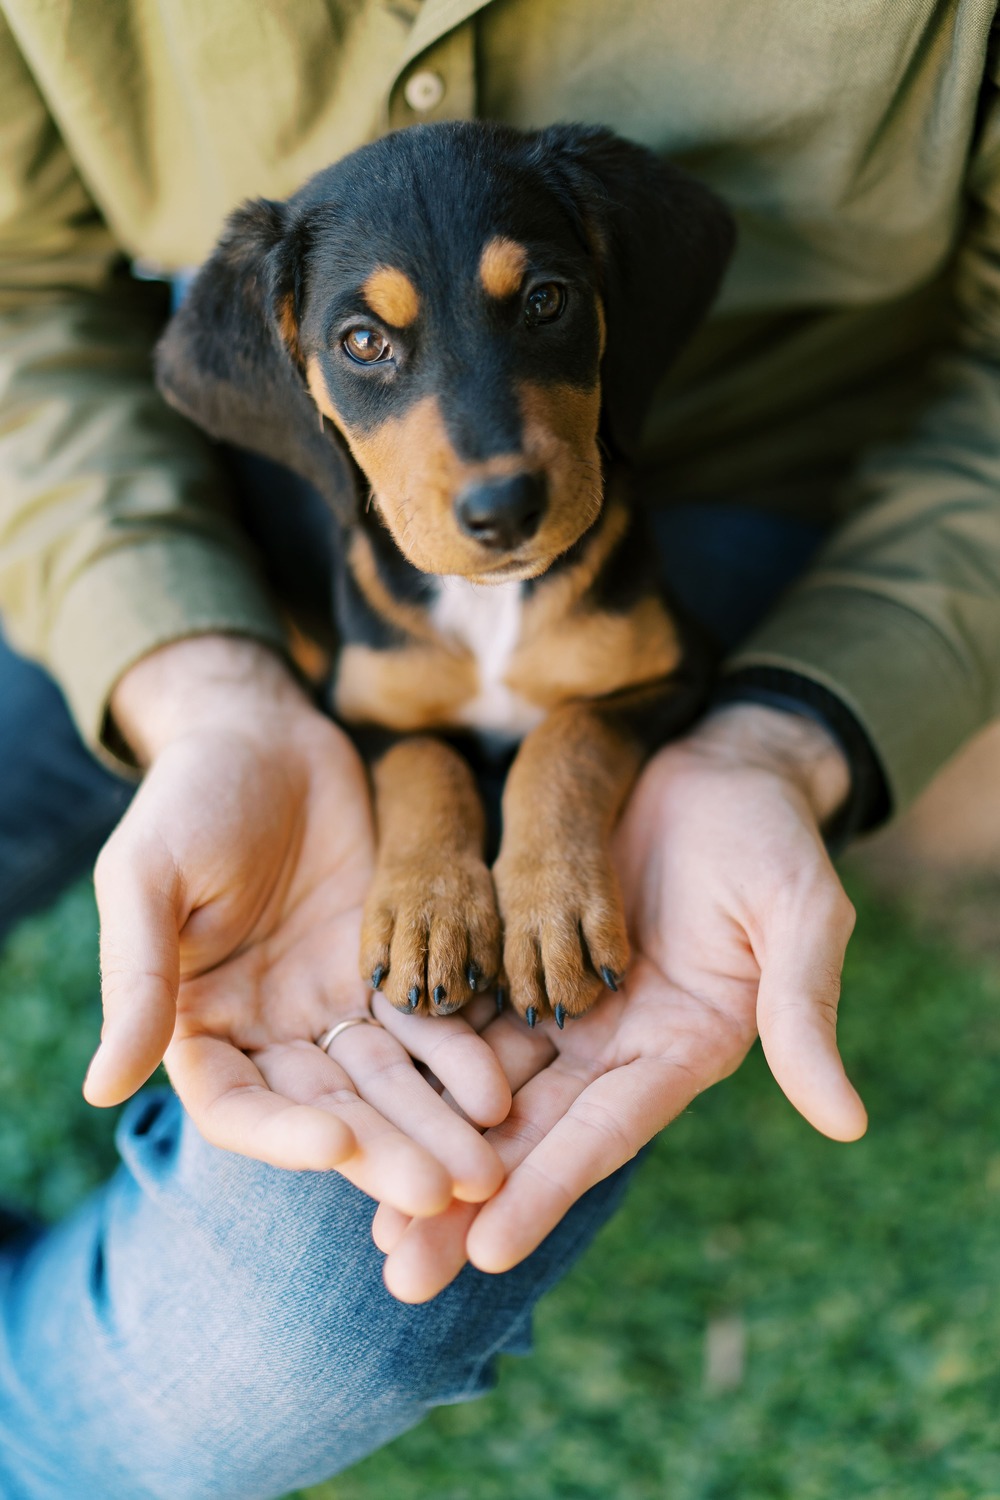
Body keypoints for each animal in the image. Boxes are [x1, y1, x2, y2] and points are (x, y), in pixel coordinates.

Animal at [156, 123, 734, 1026]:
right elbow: (429, 766)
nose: (504, 508)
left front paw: (553, 908)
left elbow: (568, 739)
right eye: (363, 342)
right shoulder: (362, 708)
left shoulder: (677, 670)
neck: (486, 605)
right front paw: (428, 912)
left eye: (545, 301)